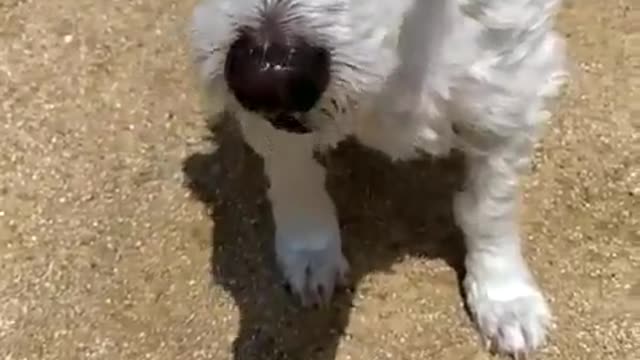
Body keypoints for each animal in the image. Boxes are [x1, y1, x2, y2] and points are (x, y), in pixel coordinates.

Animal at [189, 0, 564, 354]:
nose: (269, 79)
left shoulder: (511, 84)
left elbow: (488, 208)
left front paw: (504, 298)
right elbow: (295, 177)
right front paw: (311, 253)